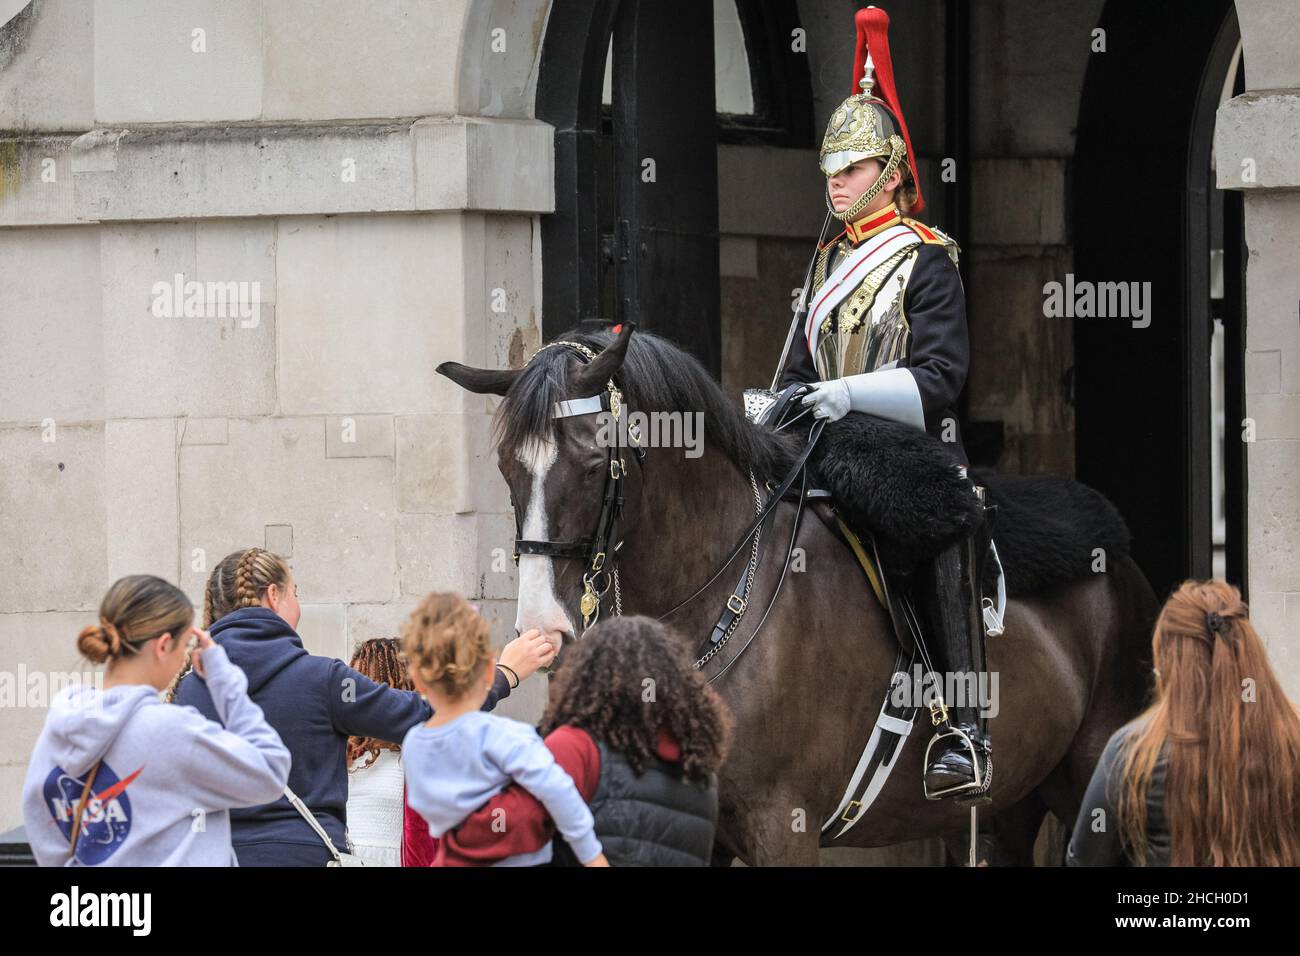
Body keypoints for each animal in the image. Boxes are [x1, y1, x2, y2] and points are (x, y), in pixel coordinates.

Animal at [438, 323, 1159, 866]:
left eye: (593, 466)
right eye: (507, 467)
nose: (543, 630)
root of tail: (1117, 546)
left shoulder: (783, 825)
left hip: (1094, 780)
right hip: (1002, 810)